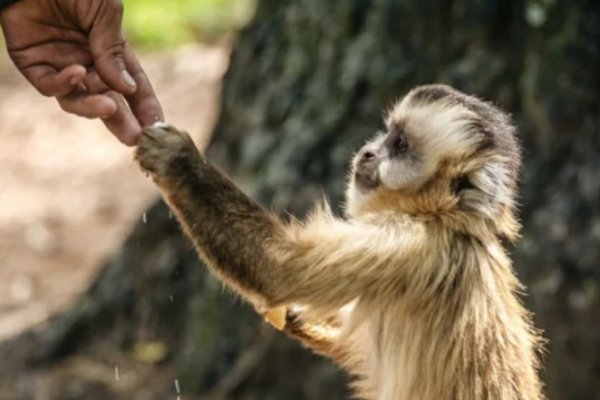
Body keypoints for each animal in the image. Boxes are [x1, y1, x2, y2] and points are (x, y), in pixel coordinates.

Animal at [135, 84, 544, 400]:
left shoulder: (408, 242)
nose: (368, 151)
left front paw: (178, 161)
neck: (447, 221)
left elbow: (278, 272)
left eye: (399, 144)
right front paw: (297, 319)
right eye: (386, 135)